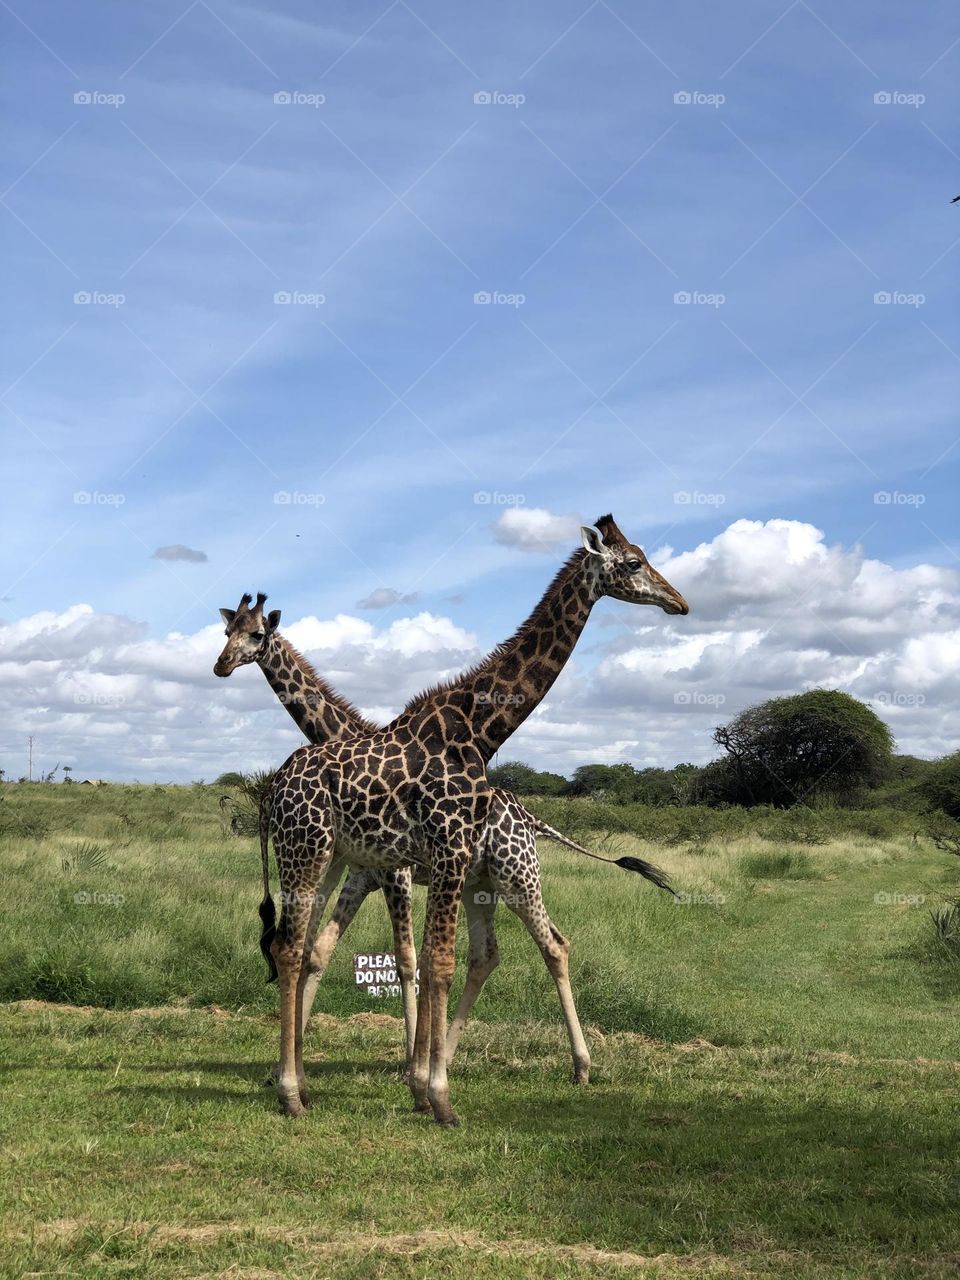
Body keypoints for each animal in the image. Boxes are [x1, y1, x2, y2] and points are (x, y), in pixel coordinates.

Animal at [260, 514, 688, 1125]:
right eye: (632, 563)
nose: (679, 602)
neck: (477, 730)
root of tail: (274, 789)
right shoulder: (441, 850)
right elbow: (432, 962)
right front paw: (437, 1096)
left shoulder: (435, 858)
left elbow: (430, 961)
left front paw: (424, 1085)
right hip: (312, 850)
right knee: (293, 949)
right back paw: (293, 1093)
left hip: (365, 860)